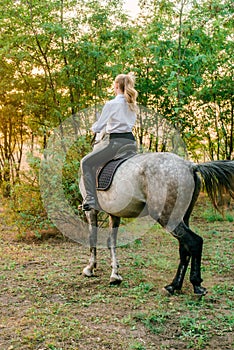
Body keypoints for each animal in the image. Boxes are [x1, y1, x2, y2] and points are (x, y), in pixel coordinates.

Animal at [79, 153, 233, 296]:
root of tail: (190, 166)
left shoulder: (91, 211)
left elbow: (93, 238)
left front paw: (90, 268)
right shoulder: (114, 214)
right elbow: (112, 241)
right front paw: (115, 274)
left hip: (167, 217)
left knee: (194, 242)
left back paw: (196, 285)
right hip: (182, 217)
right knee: (185, 247)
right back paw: (173, 286)